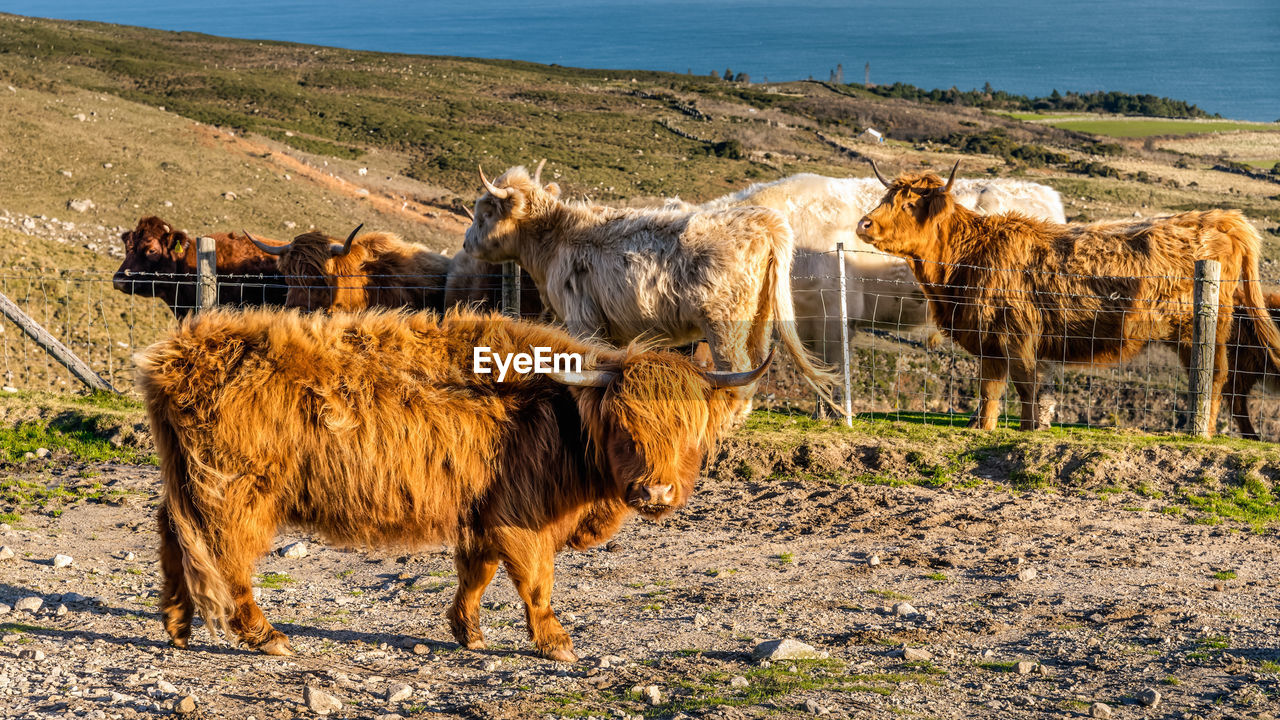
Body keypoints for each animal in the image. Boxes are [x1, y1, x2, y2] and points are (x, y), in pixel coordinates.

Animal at [137, 304, 768, 661]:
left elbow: (477, 573)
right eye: (626, 428)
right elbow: (535, 581)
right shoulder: (519, 516)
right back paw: (264, 635)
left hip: (189, 482)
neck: (563, 419)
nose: (656, 493)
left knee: (171, 534)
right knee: (227, 560)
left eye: (688, 430)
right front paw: (556, 643)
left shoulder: (484, 511)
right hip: (236, 492)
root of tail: (178, 352)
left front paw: (469, 633)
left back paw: (177, 625)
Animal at [855, 161, 1280, 430]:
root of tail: (1220, 217)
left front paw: (1029, 429)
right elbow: (990, 388)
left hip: (1201, 330)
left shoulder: (1017, 334)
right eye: (885, 200)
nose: (864, 224)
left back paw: (1201, 430)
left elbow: (1025, 384)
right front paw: (982, 427)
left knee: (1214, 378)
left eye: (910, 203)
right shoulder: (989, 340)